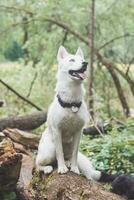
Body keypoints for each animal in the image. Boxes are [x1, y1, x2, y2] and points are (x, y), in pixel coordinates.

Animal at [36, 46, 101, 180]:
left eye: (82, 60)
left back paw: (68, 162)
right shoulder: (57, 130)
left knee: (68, 156)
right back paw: (48, 168)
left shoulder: (78, 132)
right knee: (38, 163)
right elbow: (59, 152)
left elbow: (74, 154)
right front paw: (62, 169)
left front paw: (75, 168)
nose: (85, 63)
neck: (72, 103)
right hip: (48, 152)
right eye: (72, 60)